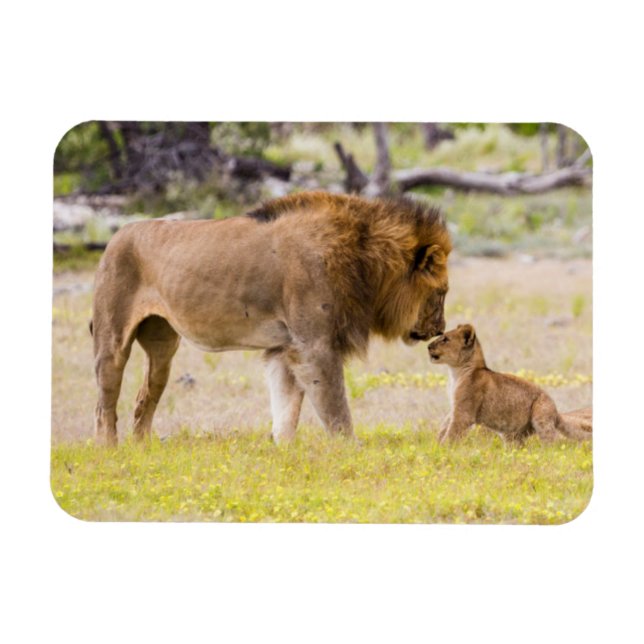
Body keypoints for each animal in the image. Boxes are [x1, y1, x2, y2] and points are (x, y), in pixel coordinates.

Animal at [91, 191, 451, 445]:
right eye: (442, 292)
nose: (440, 329)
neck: (365, 262)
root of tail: (116, 236)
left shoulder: (285, 348)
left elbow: (286, 409)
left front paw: (283, 452)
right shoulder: (314, 346)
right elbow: (335, 407)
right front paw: (351, 449)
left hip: (163, 345)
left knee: (144, 395)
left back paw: (142, 448)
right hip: (112, 340)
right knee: (104, 404)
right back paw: (109, 451)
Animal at [427, 324, 592, 444]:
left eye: (445, 339)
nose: (428, 346)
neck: (456, 371)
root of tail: (556, 412)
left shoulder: (464, 413)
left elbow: (452, 433)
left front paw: (442, 450)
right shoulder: (455, 406)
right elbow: (444, 425)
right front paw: (435, 444)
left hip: (541, 416)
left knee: (554, 442)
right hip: (513, 435)